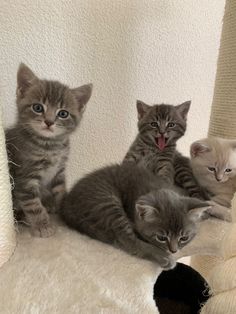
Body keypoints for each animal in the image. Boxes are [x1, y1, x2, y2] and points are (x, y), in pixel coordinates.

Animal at [6, 62, 92, 237]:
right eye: (38, 108)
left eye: (63, 113)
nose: (49, 122)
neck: (50, 146)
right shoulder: (25, 176)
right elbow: (33, 204)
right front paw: (42, 225)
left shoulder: (59, 171)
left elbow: (60, 190)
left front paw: (62, 209)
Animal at [60, 162, 230, 270]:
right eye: (161, 237)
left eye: (184, 237)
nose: (174, 251)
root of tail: (67, 204)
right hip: (107, 202)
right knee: (127, 240)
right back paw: (163, 257)